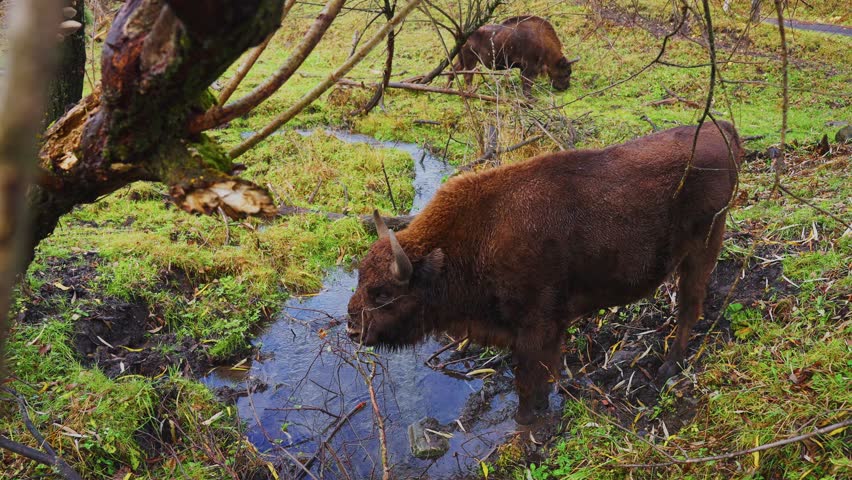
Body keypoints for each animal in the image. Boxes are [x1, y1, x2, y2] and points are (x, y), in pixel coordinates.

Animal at [347, 122, 742, 424]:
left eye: (383, 292)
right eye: (360, 277)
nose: (352, 328)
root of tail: (720, 128)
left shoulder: (533, 329)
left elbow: (528, 381)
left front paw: (526, 423)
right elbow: (544, 374)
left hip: (702, 249)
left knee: (689, 307)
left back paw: (667, 368)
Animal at [449, 15, 579, 96]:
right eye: (566, 72)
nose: (565, 87)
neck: (542, 39)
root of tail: (462, 32)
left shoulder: (524, 67)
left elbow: (525, 81)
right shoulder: (530, 66)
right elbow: (528, 81)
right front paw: (530, 98)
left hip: (461, 59)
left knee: (453, 69)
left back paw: (448, 88)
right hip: (470, 59)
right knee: (467, 76)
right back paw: (470, 93)